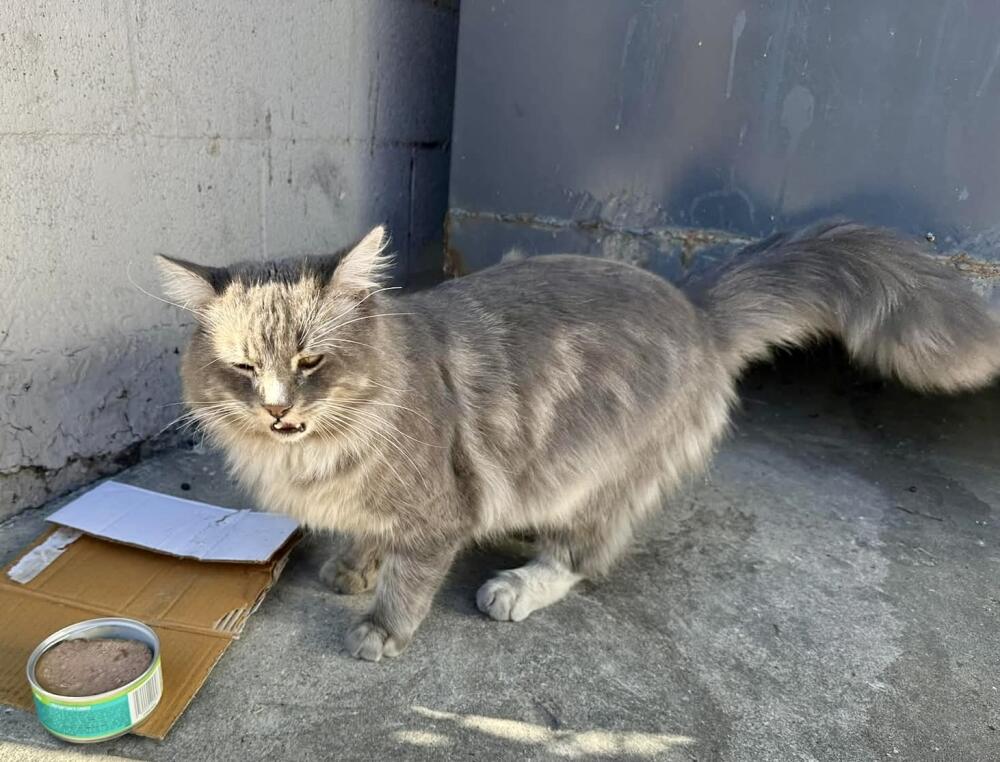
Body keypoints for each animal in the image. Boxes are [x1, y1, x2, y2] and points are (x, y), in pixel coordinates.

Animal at [156, 220, 1000, 660]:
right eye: (242, 368)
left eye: (310, 362)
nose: (278, 413)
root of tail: (698, 307)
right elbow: (366, 536)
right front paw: (353, 566)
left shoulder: (438, 512)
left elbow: (411, 580)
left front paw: (382, 628)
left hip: (595, 477)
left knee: (585, 557)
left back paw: (517, 585)